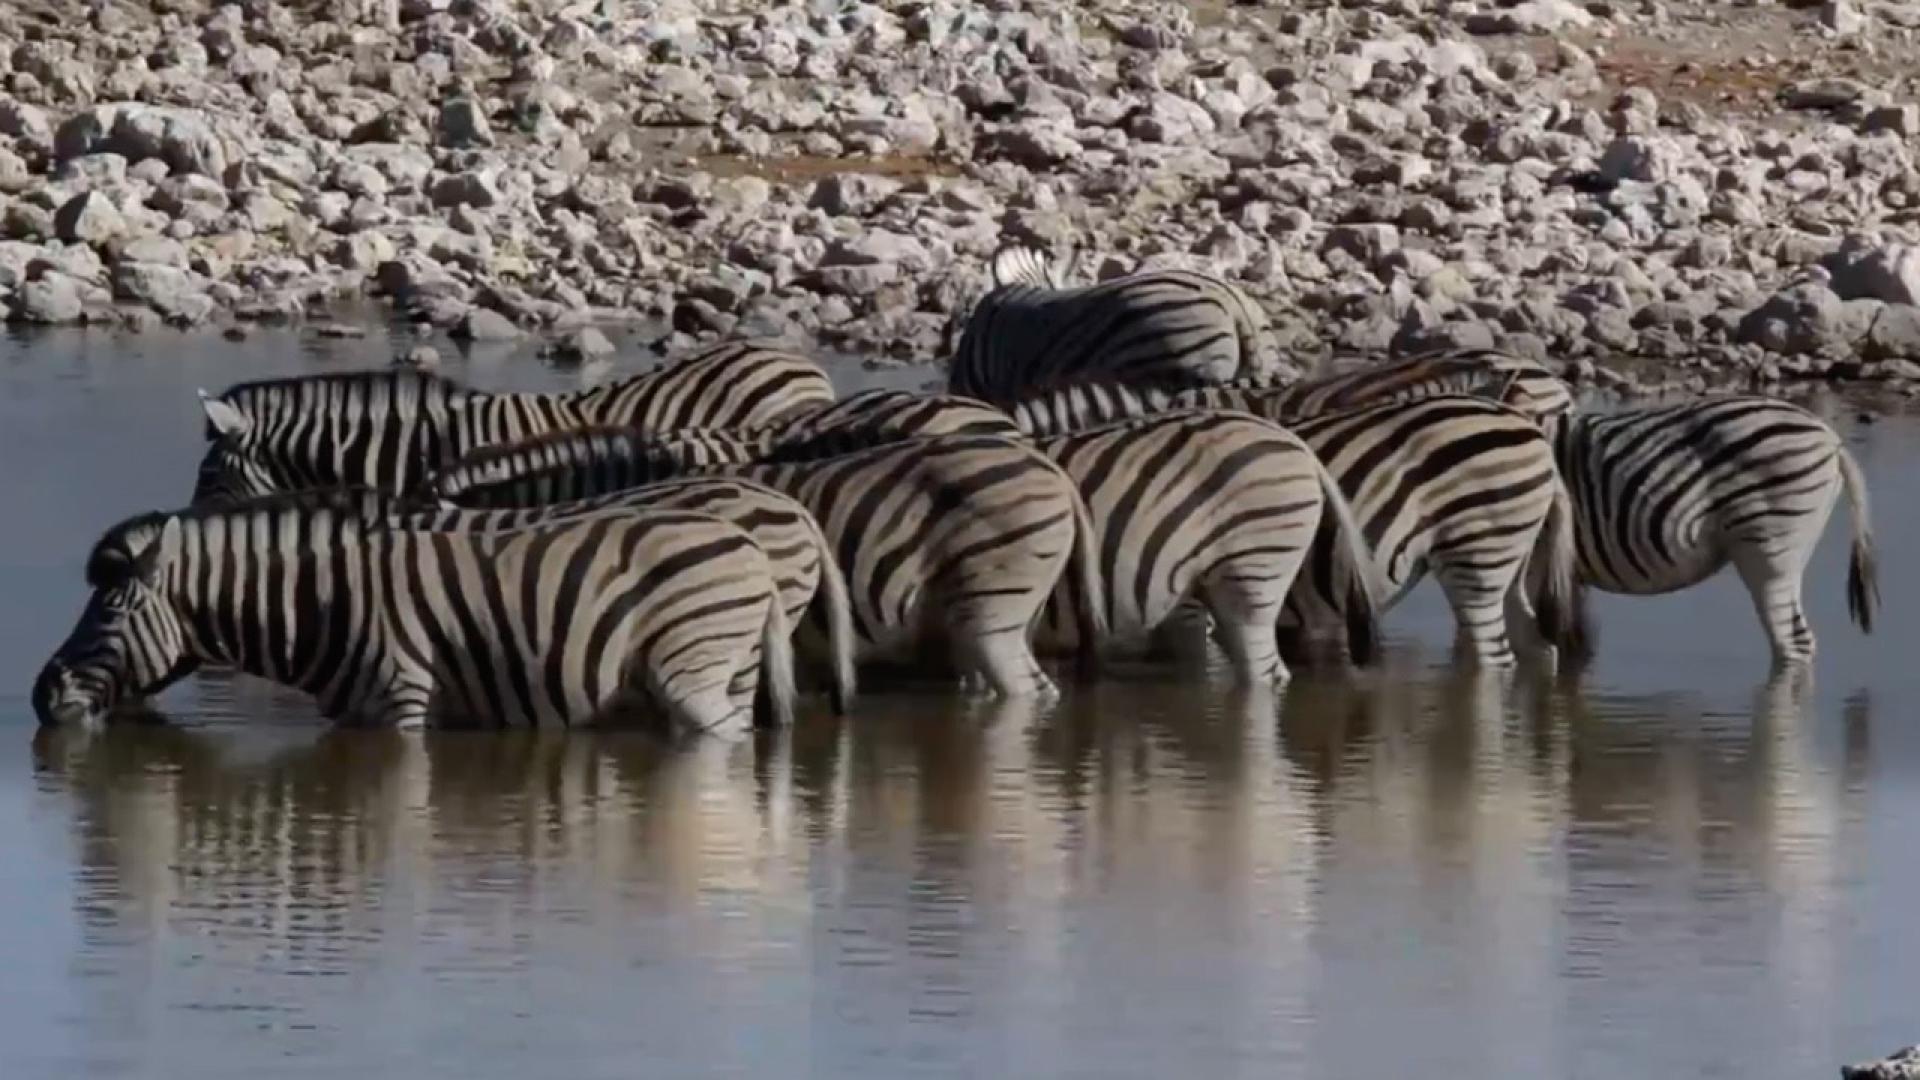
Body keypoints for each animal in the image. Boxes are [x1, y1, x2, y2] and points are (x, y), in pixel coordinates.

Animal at [34, 492, 797, 733]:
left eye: (108, 613)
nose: (41, 696)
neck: (317, 602)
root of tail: (752, 547)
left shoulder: (399, 703)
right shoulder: (352, 716)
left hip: (693, 672)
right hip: (728, 673)